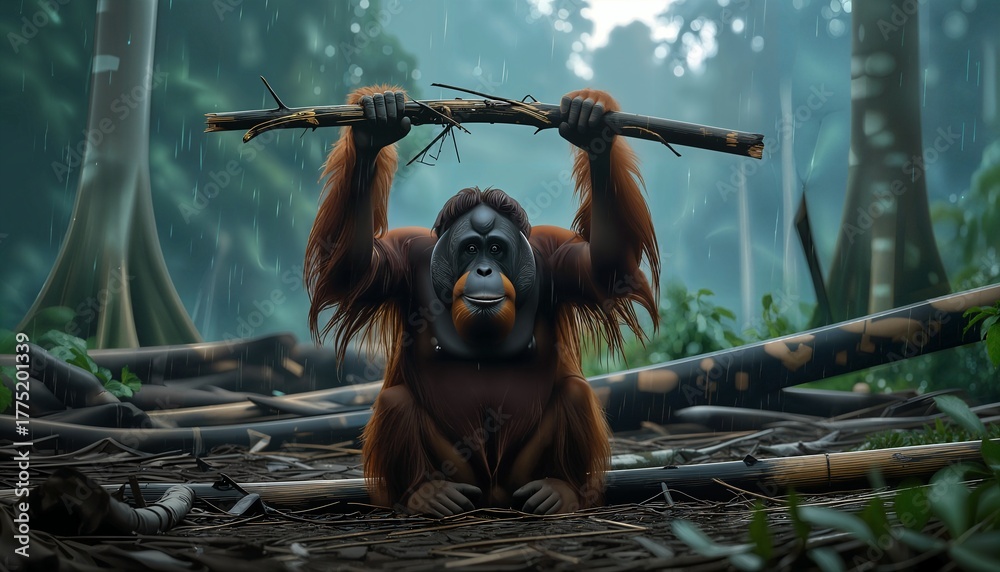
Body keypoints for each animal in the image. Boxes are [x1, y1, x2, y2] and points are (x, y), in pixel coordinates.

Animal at [304, 85, 659, 516]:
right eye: (471, 249)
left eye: (497, 249)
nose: (485, 271)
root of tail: (493, 497)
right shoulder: (404, 255)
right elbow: (350, 270)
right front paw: (374, 128)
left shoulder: (555, 254)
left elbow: (609, 268)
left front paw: (590, 122)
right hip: (460, 473)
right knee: (394, 400)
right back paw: (426, 493)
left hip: (519, 476)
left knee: (575, 394)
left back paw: (560, 490)